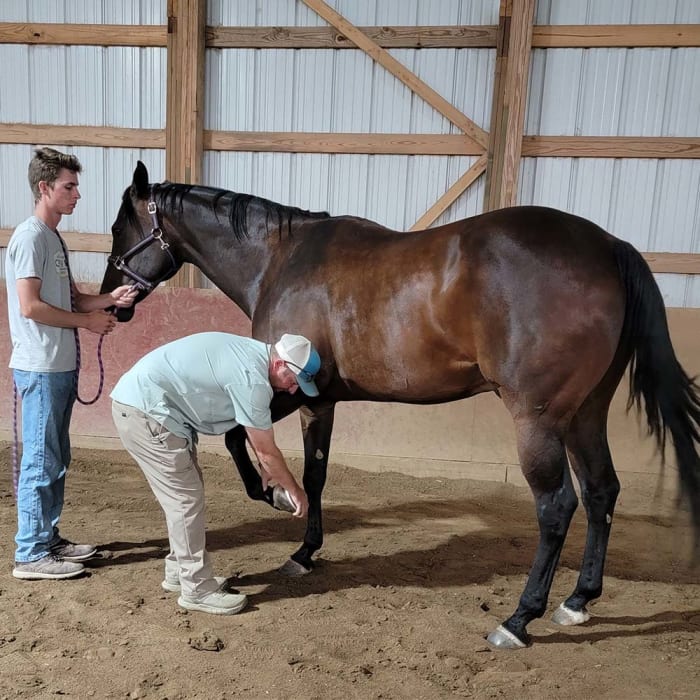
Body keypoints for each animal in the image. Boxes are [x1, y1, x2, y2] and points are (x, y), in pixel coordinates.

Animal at [100, 161, 700, 648]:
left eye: (118, 228)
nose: (112, 303)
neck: (280, 260)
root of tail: (608, 246)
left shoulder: (291, 392)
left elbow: (239, 440)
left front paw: (272, 497)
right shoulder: (322, 399)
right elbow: (314, 473)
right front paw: (304, 551)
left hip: (540, 420)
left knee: (557, 507)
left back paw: (518, 619)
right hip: (586, 413)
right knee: (601, 493)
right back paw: (577, 601)